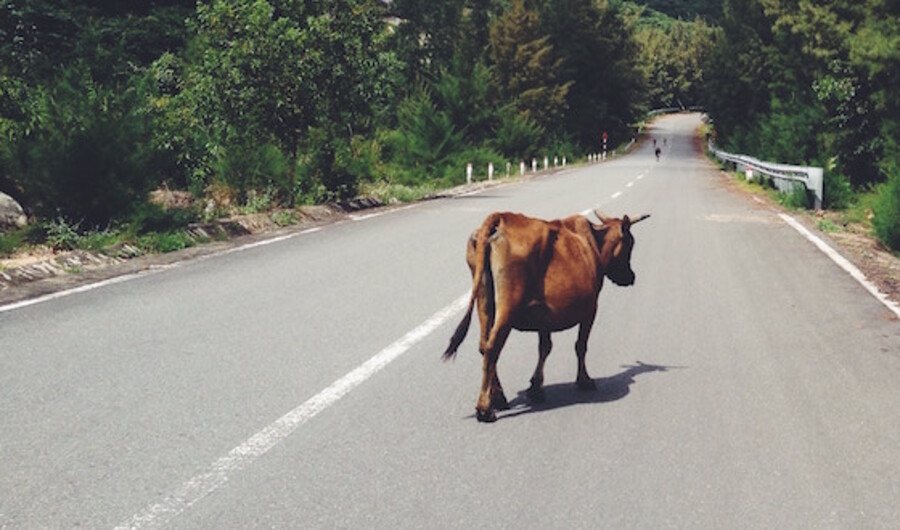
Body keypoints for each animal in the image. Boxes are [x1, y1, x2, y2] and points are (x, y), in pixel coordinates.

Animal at [442, 208, 648, 418]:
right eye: (630, 244)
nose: (631, 277)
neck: (594, 244)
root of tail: (501, 217)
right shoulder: (591, 308)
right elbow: (580, 345)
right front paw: (584, 380)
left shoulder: (544, 315)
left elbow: (545, 347)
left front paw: (536, 388)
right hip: (508, 305)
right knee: (492, 347)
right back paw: (485, 407)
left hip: (484, 300)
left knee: (484, 345)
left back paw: (498, 397)